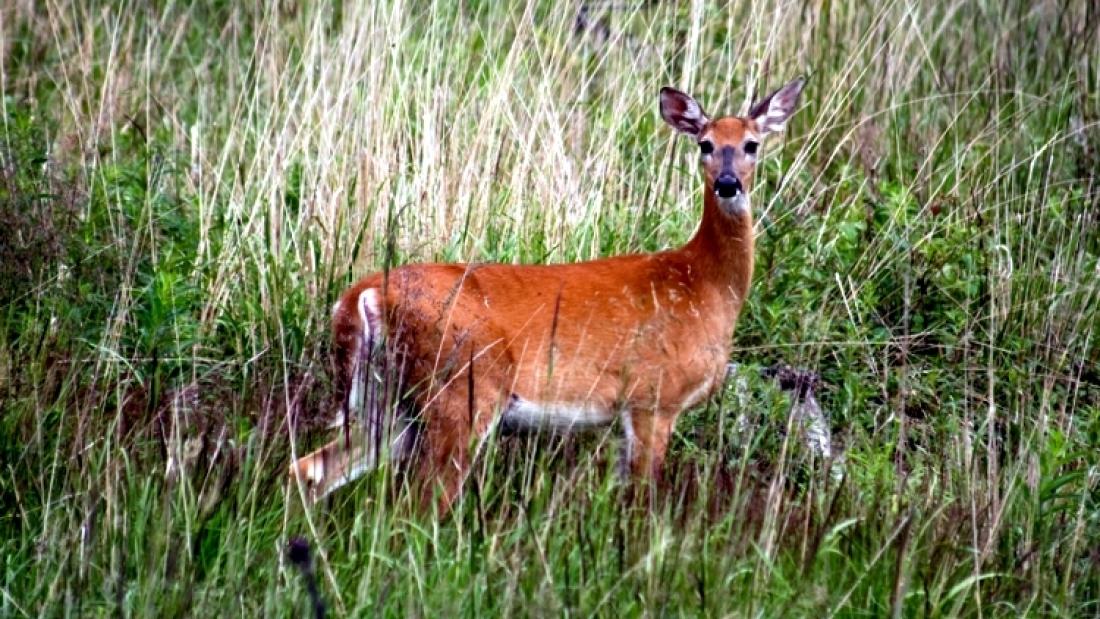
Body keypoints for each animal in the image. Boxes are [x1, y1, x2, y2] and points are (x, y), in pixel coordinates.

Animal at [288, 77, 805, 514]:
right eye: (705, 145)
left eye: (752, 144)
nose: (728, 183)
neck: (703, 284)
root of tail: (361, 296)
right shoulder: (653, 398)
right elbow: (642, 502)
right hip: (460, 390)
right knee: (422, 498)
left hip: (383, 395)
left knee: (312, 468)